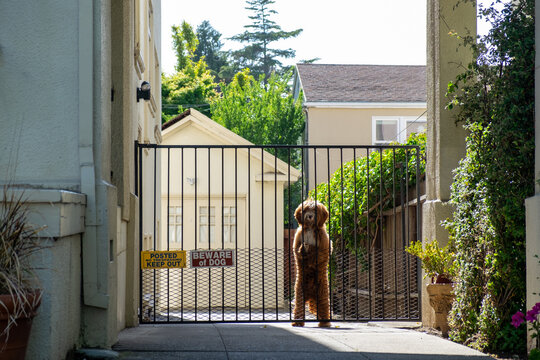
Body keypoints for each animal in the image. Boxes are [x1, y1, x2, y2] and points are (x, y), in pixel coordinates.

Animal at [294, 198, 332, 328]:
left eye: (315, 210)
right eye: (305, 209)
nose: (309, 216)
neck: (310, 228)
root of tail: (310, 295)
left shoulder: (324, 247)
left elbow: (317, 254)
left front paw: (309, 248)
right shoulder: (297, 240)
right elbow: (299, 251)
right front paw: (304, 248)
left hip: (322, 295)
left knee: (324, 308)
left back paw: (324, 323)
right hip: (300, 293)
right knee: (299, 308)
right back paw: (297, 322)